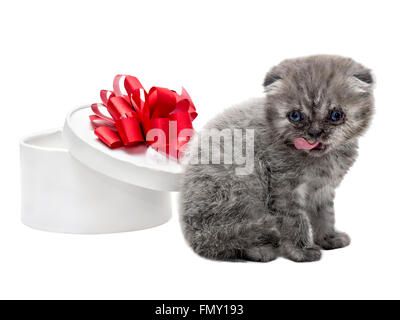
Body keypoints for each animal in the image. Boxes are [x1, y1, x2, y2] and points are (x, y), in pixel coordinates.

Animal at [180, 55, 376, 262]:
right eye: (295, 116)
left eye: (336, 115)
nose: (314, 133)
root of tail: (192, 235)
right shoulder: (285, 188)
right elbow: (295, 220)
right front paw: (301, 250)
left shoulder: (322, 189)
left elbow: (325, 215)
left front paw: (328, 238)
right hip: (246, 181)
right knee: (221, 240)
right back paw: (260, 250)